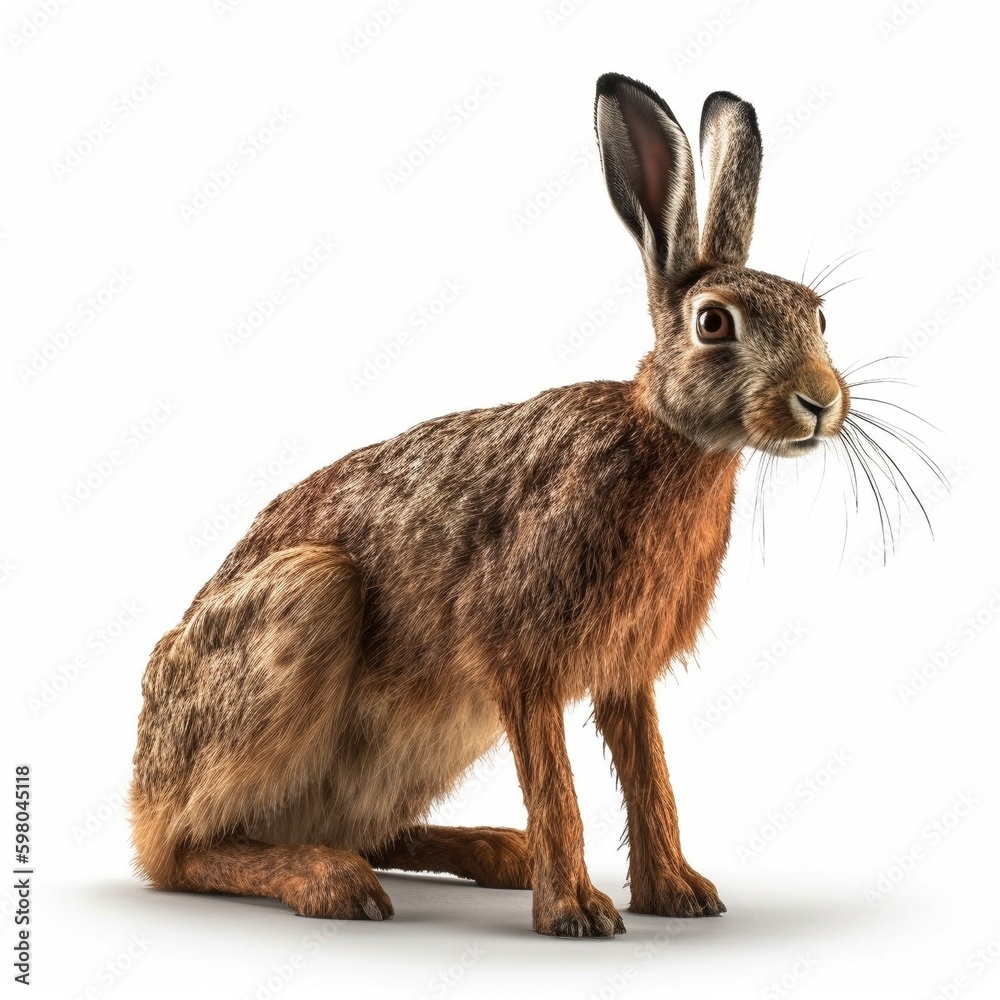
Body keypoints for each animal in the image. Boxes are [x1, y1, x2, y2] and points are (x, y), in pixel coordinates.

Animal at [131, 73, 850, 938]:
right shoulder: (520, 657)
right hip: (306, 602)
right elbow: (559, 788)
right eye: (714, 323)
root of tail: (139, 791)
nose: (820, 402)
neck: (663, 436)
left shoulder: (625, 674)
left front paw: (679, 895)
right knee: (187, 854)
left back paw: (497, 851)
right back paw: (332, 882)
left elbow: (651, 779)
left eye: (820, 315)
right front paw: (577, 913)